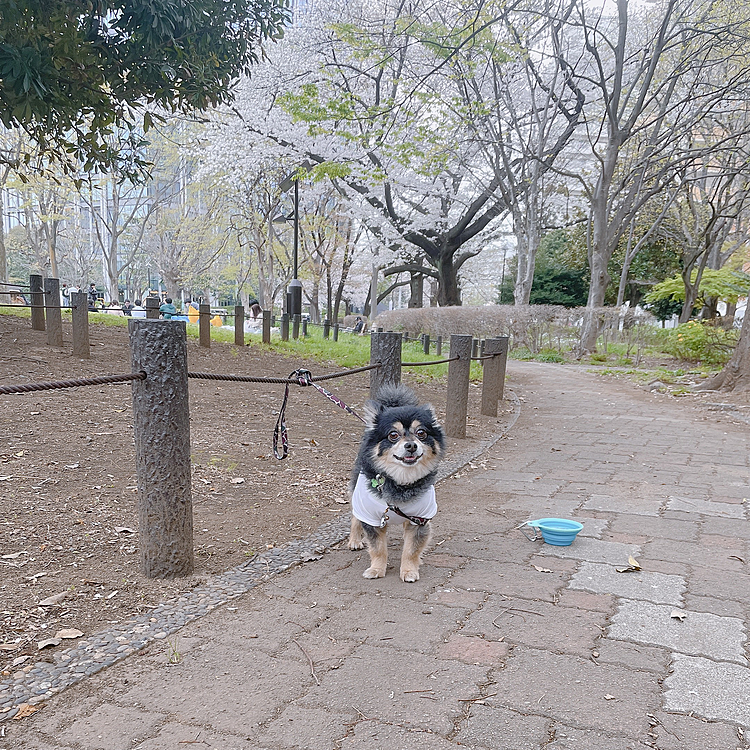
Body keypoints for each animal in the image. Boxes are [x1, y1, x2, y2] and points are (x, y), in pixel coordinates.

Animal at [348, 384, 446, 584]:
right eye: (393, 435)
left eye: (421, 433)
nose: (411, 445)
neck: (401, 481)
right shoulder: (372, 519)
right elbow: (378, 548)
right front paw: (377, 569)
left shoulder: (419, 519)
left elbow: (411, 550)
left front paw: (409, 570)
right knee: (355, 516)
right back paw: (354, 540)